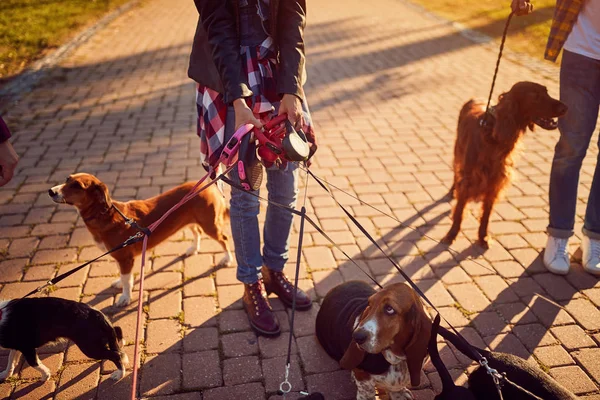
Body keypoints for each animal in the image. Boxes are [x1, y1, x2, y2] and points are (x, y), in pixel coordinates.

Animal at [48, 173, 232, 306]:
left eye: (77, 186)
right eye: (67, 179)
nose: (51, 191)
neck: (103, 215)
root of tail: (207, 186)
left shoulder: (125, 259)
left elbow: (127, 279)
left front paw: (125, 297)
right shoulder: (120, 257)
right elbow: (123, 276)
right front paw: (119, 283)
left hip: (210, 225)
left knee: (224, 238)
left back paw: (227, 259)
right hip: (191, 221)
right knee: (196, 232)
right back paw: (193, 248)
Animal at [440, 81, 568, 248]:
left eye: (546, 91)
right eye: (535, 95)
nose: (565, 107)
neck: (493, 135)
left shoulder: (495, 181)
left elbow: (486, 214)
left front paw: (483, 237)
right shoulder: (469, 178)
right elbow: (460, 210)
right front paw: (451, 234)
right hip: (458, 153)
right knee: (456, 174)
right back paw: (452, 191)